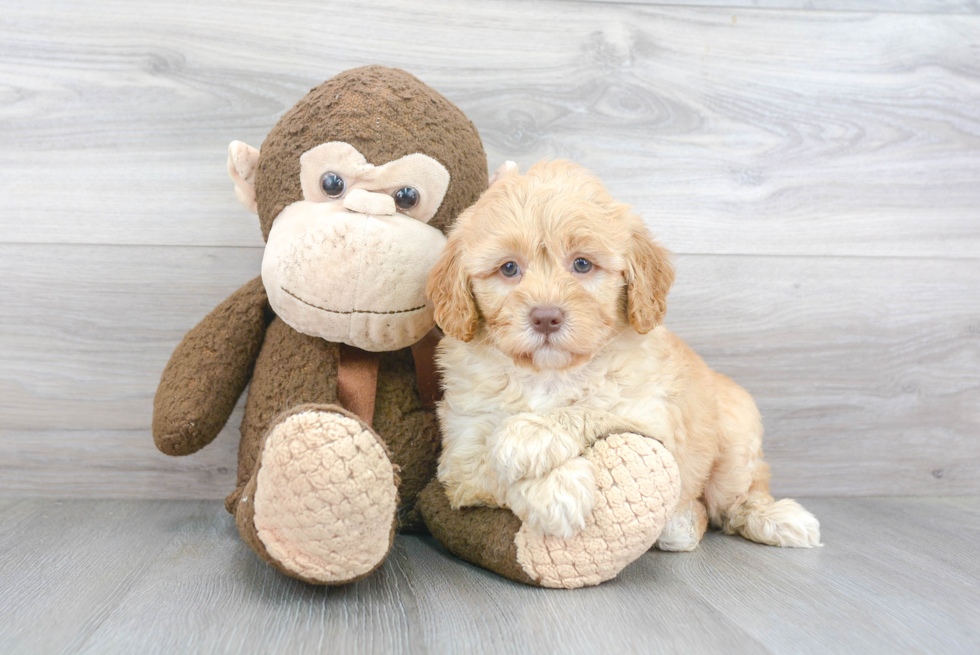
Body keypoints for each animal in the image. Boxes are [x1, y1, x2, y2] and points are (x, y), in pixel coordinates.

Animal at [428, 161, 820, 552]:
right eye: (509, 268)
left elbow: (589, 411)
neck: (550, 373)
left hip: (736, 442)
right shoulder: (459, 453)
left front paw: (528, 436)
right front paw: (558, 491)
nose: (546, 317)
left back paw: (773, 519)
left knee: (737, 499)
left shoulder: (649, 418)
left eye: (582, 264)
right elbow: (487, 463)